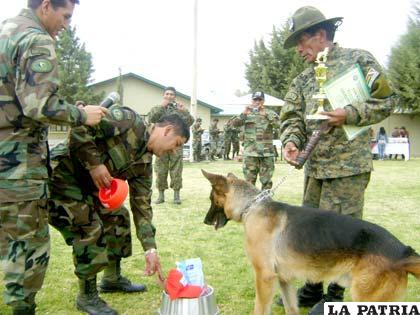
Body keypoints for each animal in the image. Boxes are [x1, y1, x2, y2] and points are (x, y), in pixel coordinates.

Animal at [202, 172, 418, 315]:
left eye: (211, 198)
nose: (204, 221)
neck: (252, 206)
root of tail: (403, 252)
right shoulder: (284, 279)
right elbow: (291, 307)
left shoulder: (264, 277)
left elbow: (260, 309)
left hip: (366, 299)